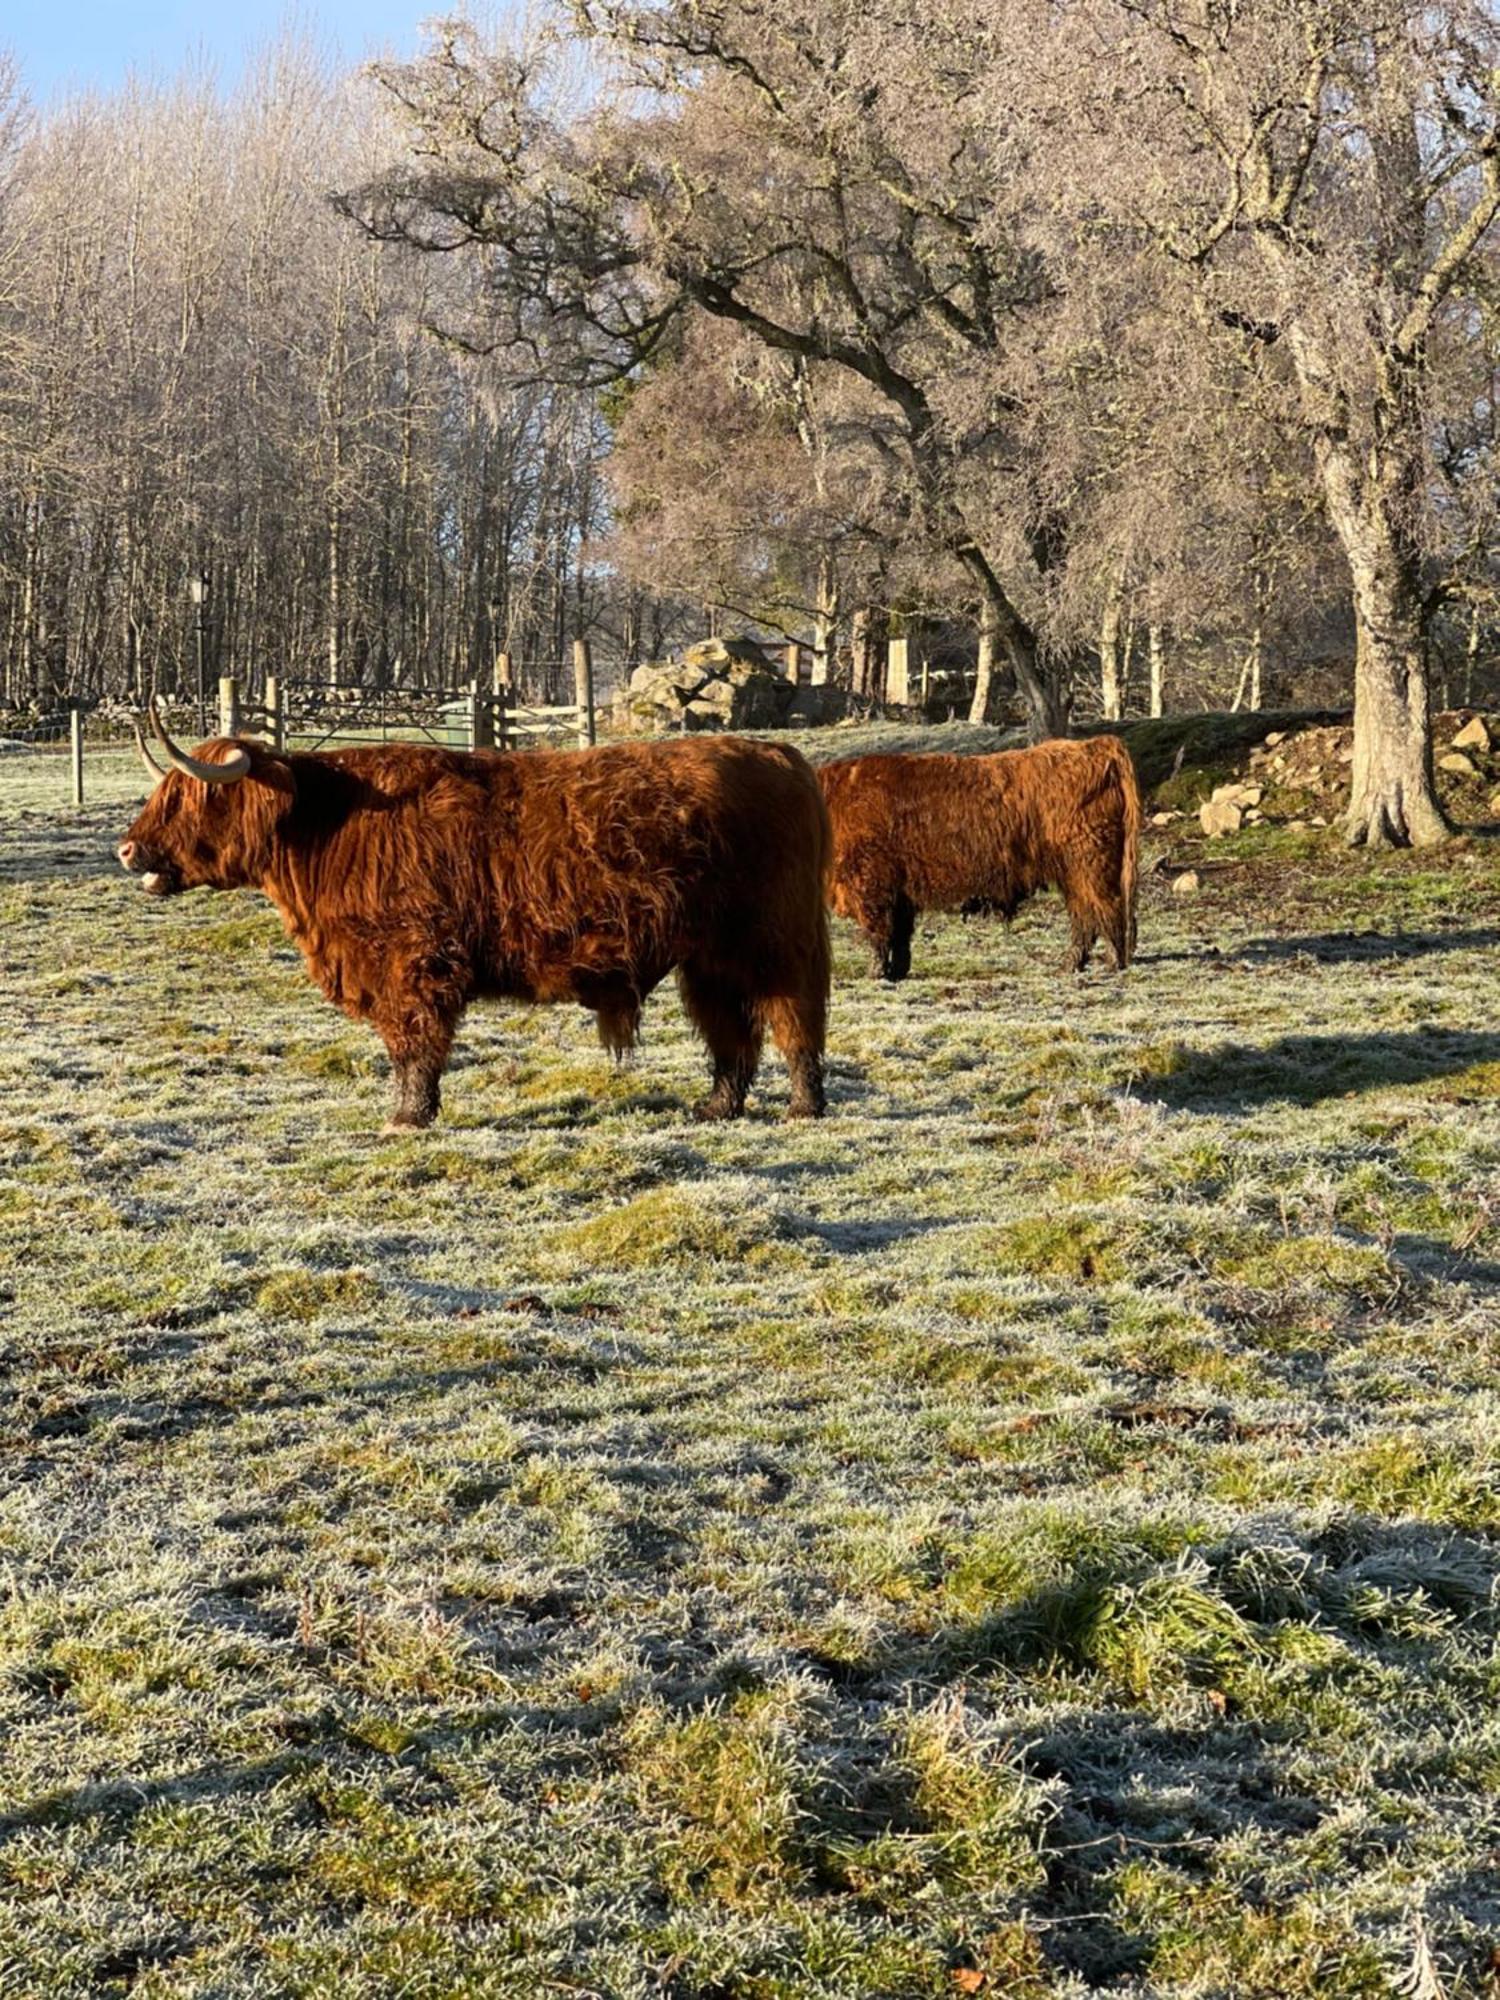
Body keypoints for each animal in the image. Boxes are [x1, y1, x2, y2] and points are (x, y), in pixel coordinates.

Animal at [117, 712, 836, 1136]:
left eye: (186, 798)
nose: (126, 850)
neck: (325, 826)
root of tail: (781, 754)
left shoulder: (413, 961)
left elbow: (413, 1044)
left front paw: (406, 1118)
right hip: (710, 953)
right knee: (731, 1030)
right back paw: (717, 1107)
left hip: (775, 939)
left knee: (792, 1018)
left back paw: (803, 1107)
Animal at [816, 736, 1144, 984]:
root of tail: (1093, 746)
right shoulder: (898, 895)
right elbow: (899, 936)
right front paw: (896, 971)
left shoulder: (871, 885)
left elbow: (879, 934)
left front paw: (876, 974)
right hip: (1075, 874)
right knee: (1086, 917)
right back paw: (1071, 964)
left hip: (1089, 866)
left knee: (1105, 910)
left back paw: (1111, 962)